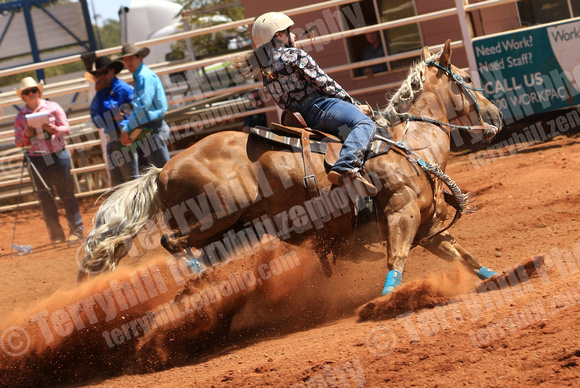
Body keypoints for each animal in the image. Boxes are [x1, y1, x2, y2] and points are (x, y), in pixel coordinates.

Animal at [78, 40, 502, 298]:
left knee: (189, 248)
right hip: (217, 217)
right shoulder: (401, 214)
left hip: (238, 229)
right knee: (174, 243)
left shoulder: (428, 227)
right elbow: (396, 260)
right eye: (465, 77)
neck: (410, 147)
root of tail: (163, 170)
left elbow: (464, 255)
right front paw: (387, 301)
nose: (497, 115)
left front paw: (498, 277)